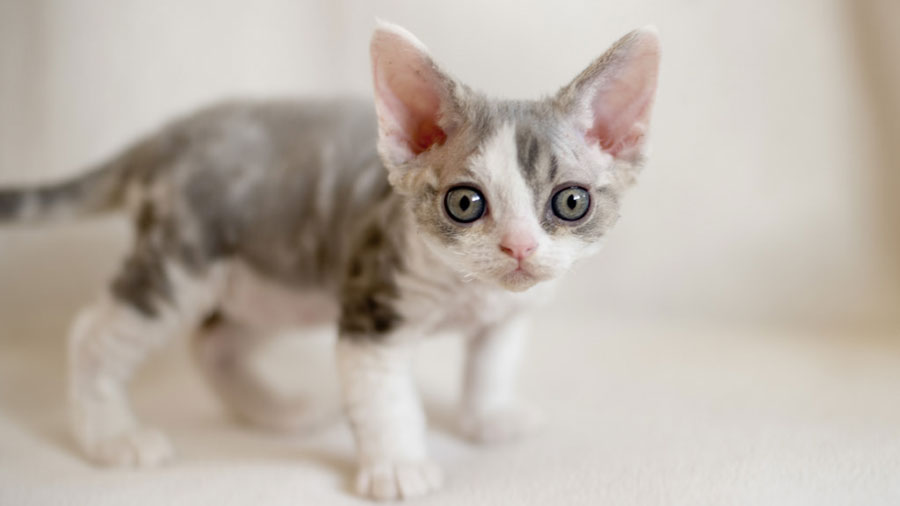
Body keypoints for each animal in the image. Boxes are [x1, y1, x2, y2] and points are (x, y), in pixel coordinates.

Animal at [0, 22, 660, 498]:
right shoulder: (373, 305)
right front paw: (398, 466)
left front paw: (489, 417)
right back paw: (112, 437)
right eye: (466, 203)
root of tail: (174, 131)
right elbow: (386, 399)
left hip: (268, 280)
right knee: (95, 330)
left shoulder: (508, 309)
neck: (469, 289)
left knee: (213, 340)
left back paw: (273, 411)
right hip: (184, 259)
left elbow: (493, 357)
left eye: (570, 201)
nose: (519, 246)